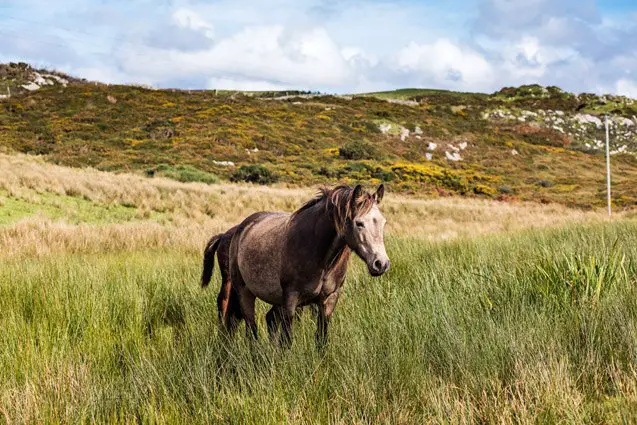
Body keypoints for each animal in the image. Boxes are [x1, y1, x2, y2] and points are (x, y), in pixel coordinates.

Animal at [226, 184, 390, 346]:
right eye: (359, 223)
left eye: (383, 222)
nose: (381, 263)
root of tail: (243, 227)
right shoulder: (291, 300)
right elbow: (286, 341)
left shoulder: (329, 301)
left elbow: (321, 340)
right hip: (245, 293)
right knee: (251, 330)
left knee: (269, 320)